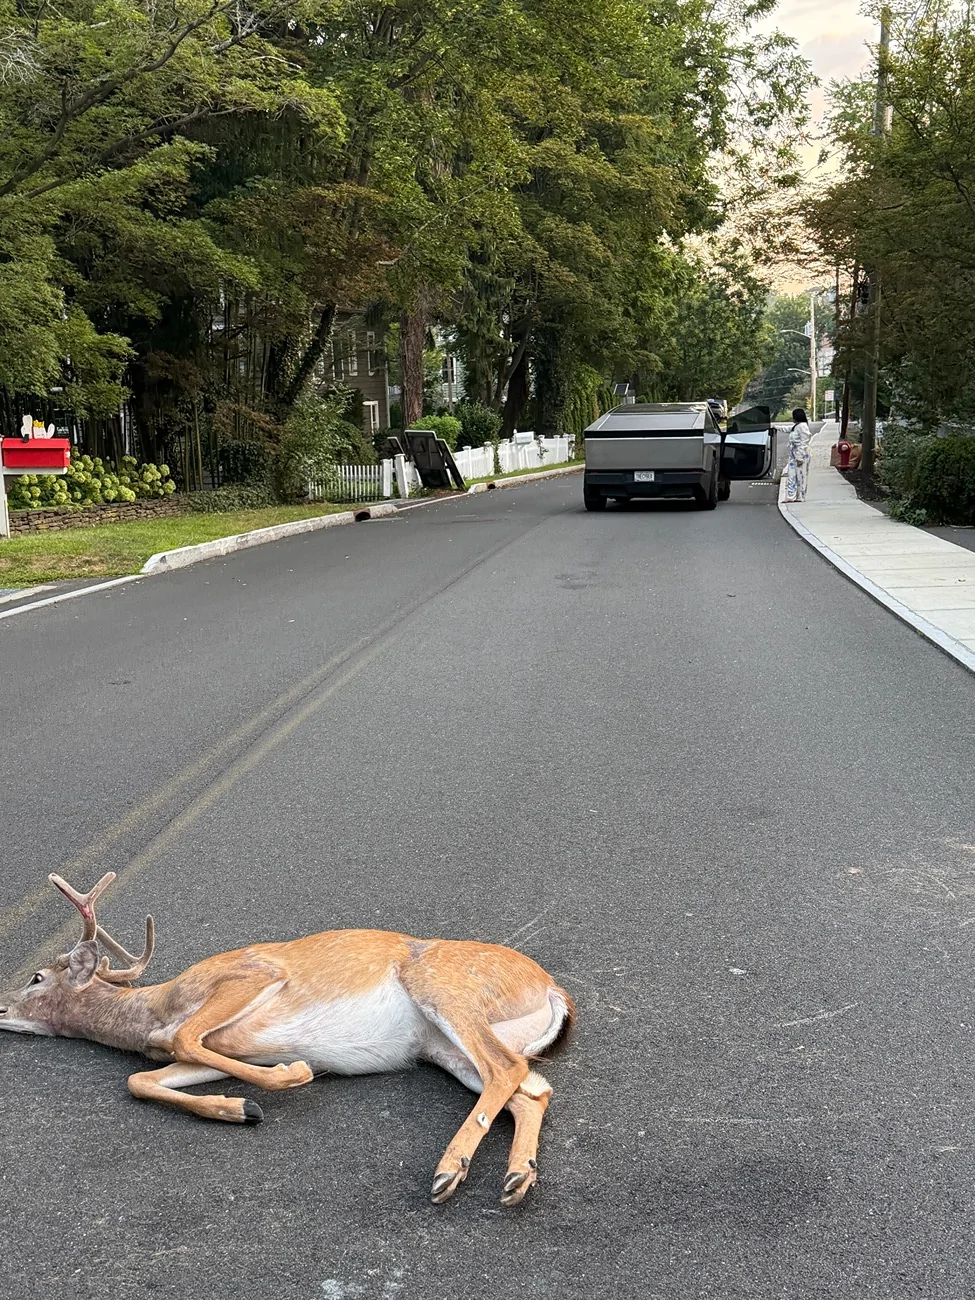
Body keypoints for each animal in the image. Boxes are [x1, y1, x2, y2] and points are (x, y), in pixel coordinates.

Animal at [0, 872, 574, 1206]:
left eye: (35, 978)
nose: (0, 1006)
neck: (150, 1012)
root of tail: (553, 988)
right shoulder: (211, 1049)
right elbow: (142, 1079)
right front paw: (239, 1107)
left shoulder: (249, 976)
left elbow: (184, 1038)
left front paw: (292, 1072)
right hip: (443, 1047)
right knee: (530, 1086)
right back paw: (517, 1177)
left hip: (443, 988)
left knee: (507, 1070)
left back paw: (448, 1171)